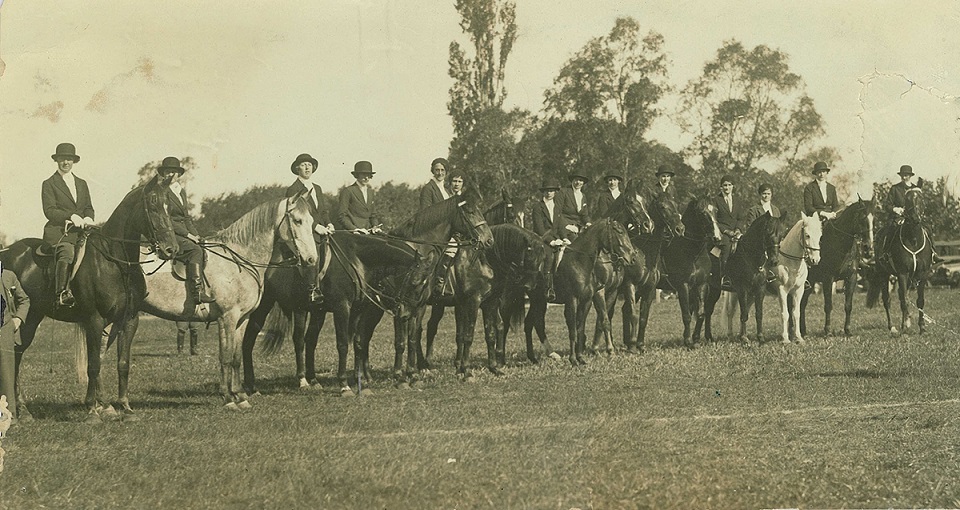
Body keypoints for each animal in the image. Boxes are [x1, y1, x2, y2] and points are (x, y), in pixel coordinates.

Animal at [0, 179, 179, 422]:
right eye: (152, 206)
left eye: (170, 207)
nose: (171, 249)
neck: (115, 262)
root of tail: (8, 251)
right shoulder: (94, 320)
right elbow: (93, 365)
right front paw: (93, 411)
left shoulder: (129, 320)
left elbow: (122, 363)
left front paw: (125, 408)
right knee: (16, 355)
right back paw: (21, 409)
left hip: (33, 316)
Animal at [138, 195, 316, 410]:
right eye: (297, 220)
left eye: (312, 222)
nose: (312, 259)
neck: (238, 261)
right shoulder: (227, 318)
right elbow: (225, 357)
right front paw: (228, 398)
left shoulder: (242, 319)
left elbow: (237, 357)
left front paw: (240, 395)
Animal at [776, 213, 820, 344]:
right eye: (807, 235)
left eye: (820, 235)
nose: (815, 260)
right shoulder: (782, 290)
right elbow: (785, 314)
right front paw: (785, 339)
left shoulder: (798, 291)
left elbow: (796, 313)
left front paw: (798, 337)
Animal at [796, 197, 876, 336]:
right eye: (862, 218)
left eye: (874, 219)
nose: (868, 250)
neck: (840, 243)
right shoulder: (828, 279)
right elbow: (828, 306)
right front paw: (827, 330)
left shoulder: (851, 278)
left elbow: (848, 305)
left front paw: (847, 330)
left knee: (802, 303)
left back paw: (803, 330)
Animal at [868, 187, 932, 334]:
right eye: (907, 200)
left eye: (921, 198)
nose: (915, 219)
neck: (914, 240)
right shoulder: (903, 273)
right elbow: (905, 300)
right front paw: (908, 323)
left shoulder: (922, 274)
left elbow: (920, 300)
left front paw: (922, 327)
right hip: (884, 274)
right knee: (887, 300)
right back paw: (892, 327)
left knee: (901, 296)